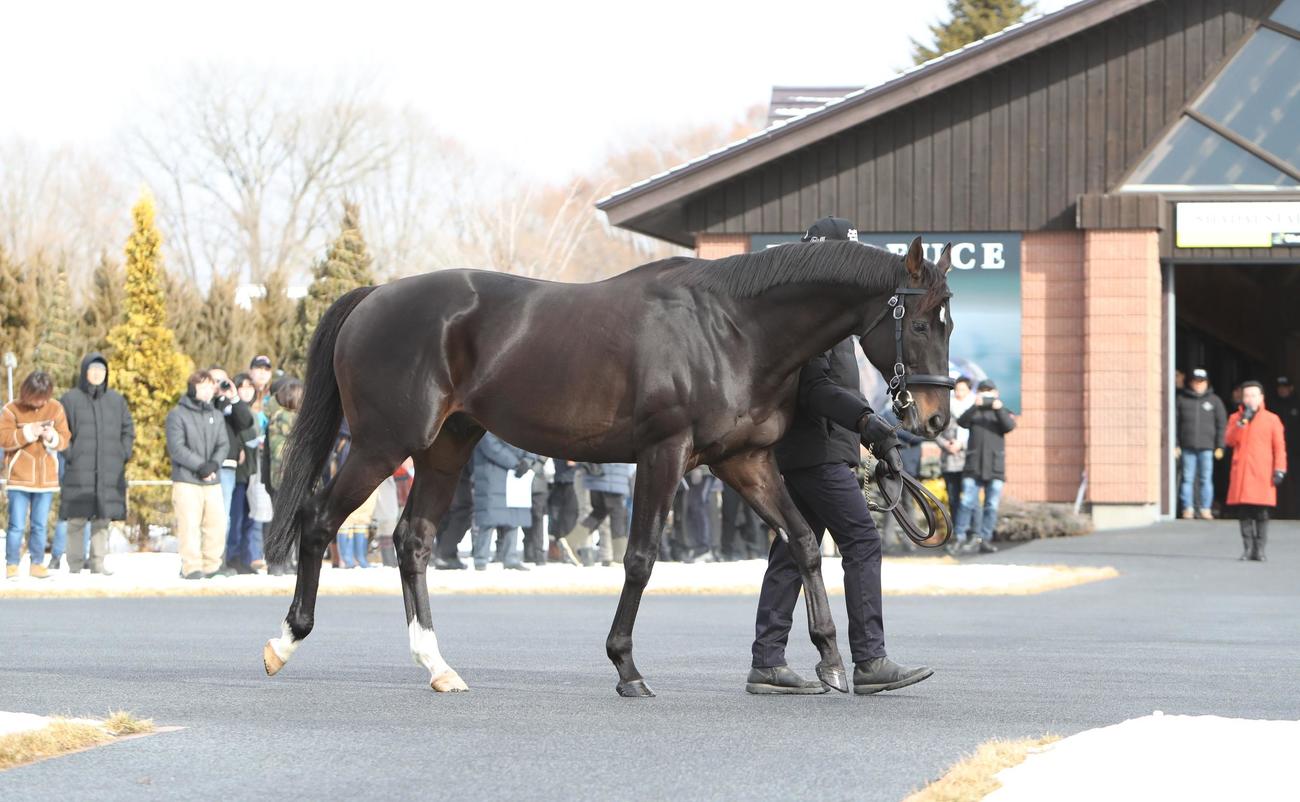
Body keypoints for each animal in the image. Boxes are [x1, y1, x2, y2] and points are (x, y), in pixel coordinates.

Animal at [261, 236, 954, 697]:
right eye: (922, 322)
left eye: (947, 320)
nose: (934, 420)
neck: (732, 328)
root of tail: (375, 296)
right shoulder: (664, 454)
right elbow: (641, 557)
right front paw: (626, 666)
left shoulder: (744, 461)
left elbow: (807, 542)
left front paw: (832, 661)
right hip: (382, 443)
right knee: (318, 521)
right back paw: (285, 642)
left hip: (444, 445)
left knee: (414, 541)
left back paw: (438, 666)